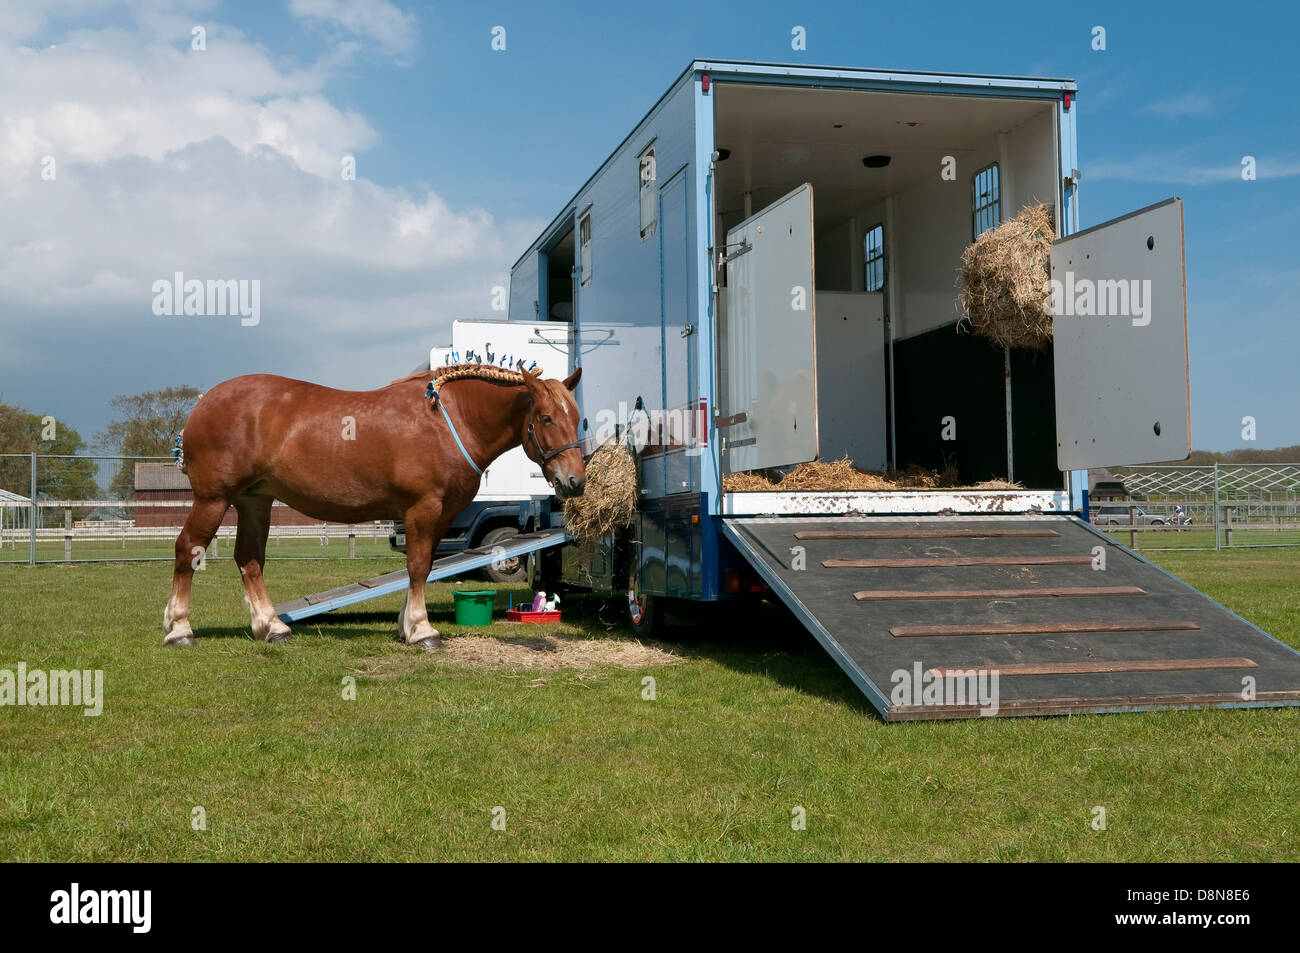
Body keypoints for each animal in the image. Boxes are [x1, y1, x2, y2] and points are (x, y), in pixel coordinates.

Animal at [163, 363, 584, 649]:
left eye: (577, 418)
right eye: (546, 417)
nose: (575, 481)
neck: (449, 422)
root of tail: (203, 404)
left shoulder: (441, 515)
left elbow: (423, 566)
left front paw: (406, 625)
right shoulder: (422, 508)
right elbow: (417, 567)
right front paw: (422, 630)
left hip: (255, 501)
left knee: (249, 560)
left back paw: (272, 627)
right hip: (214, 499)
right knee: (188, 549)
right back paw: (179, 629)